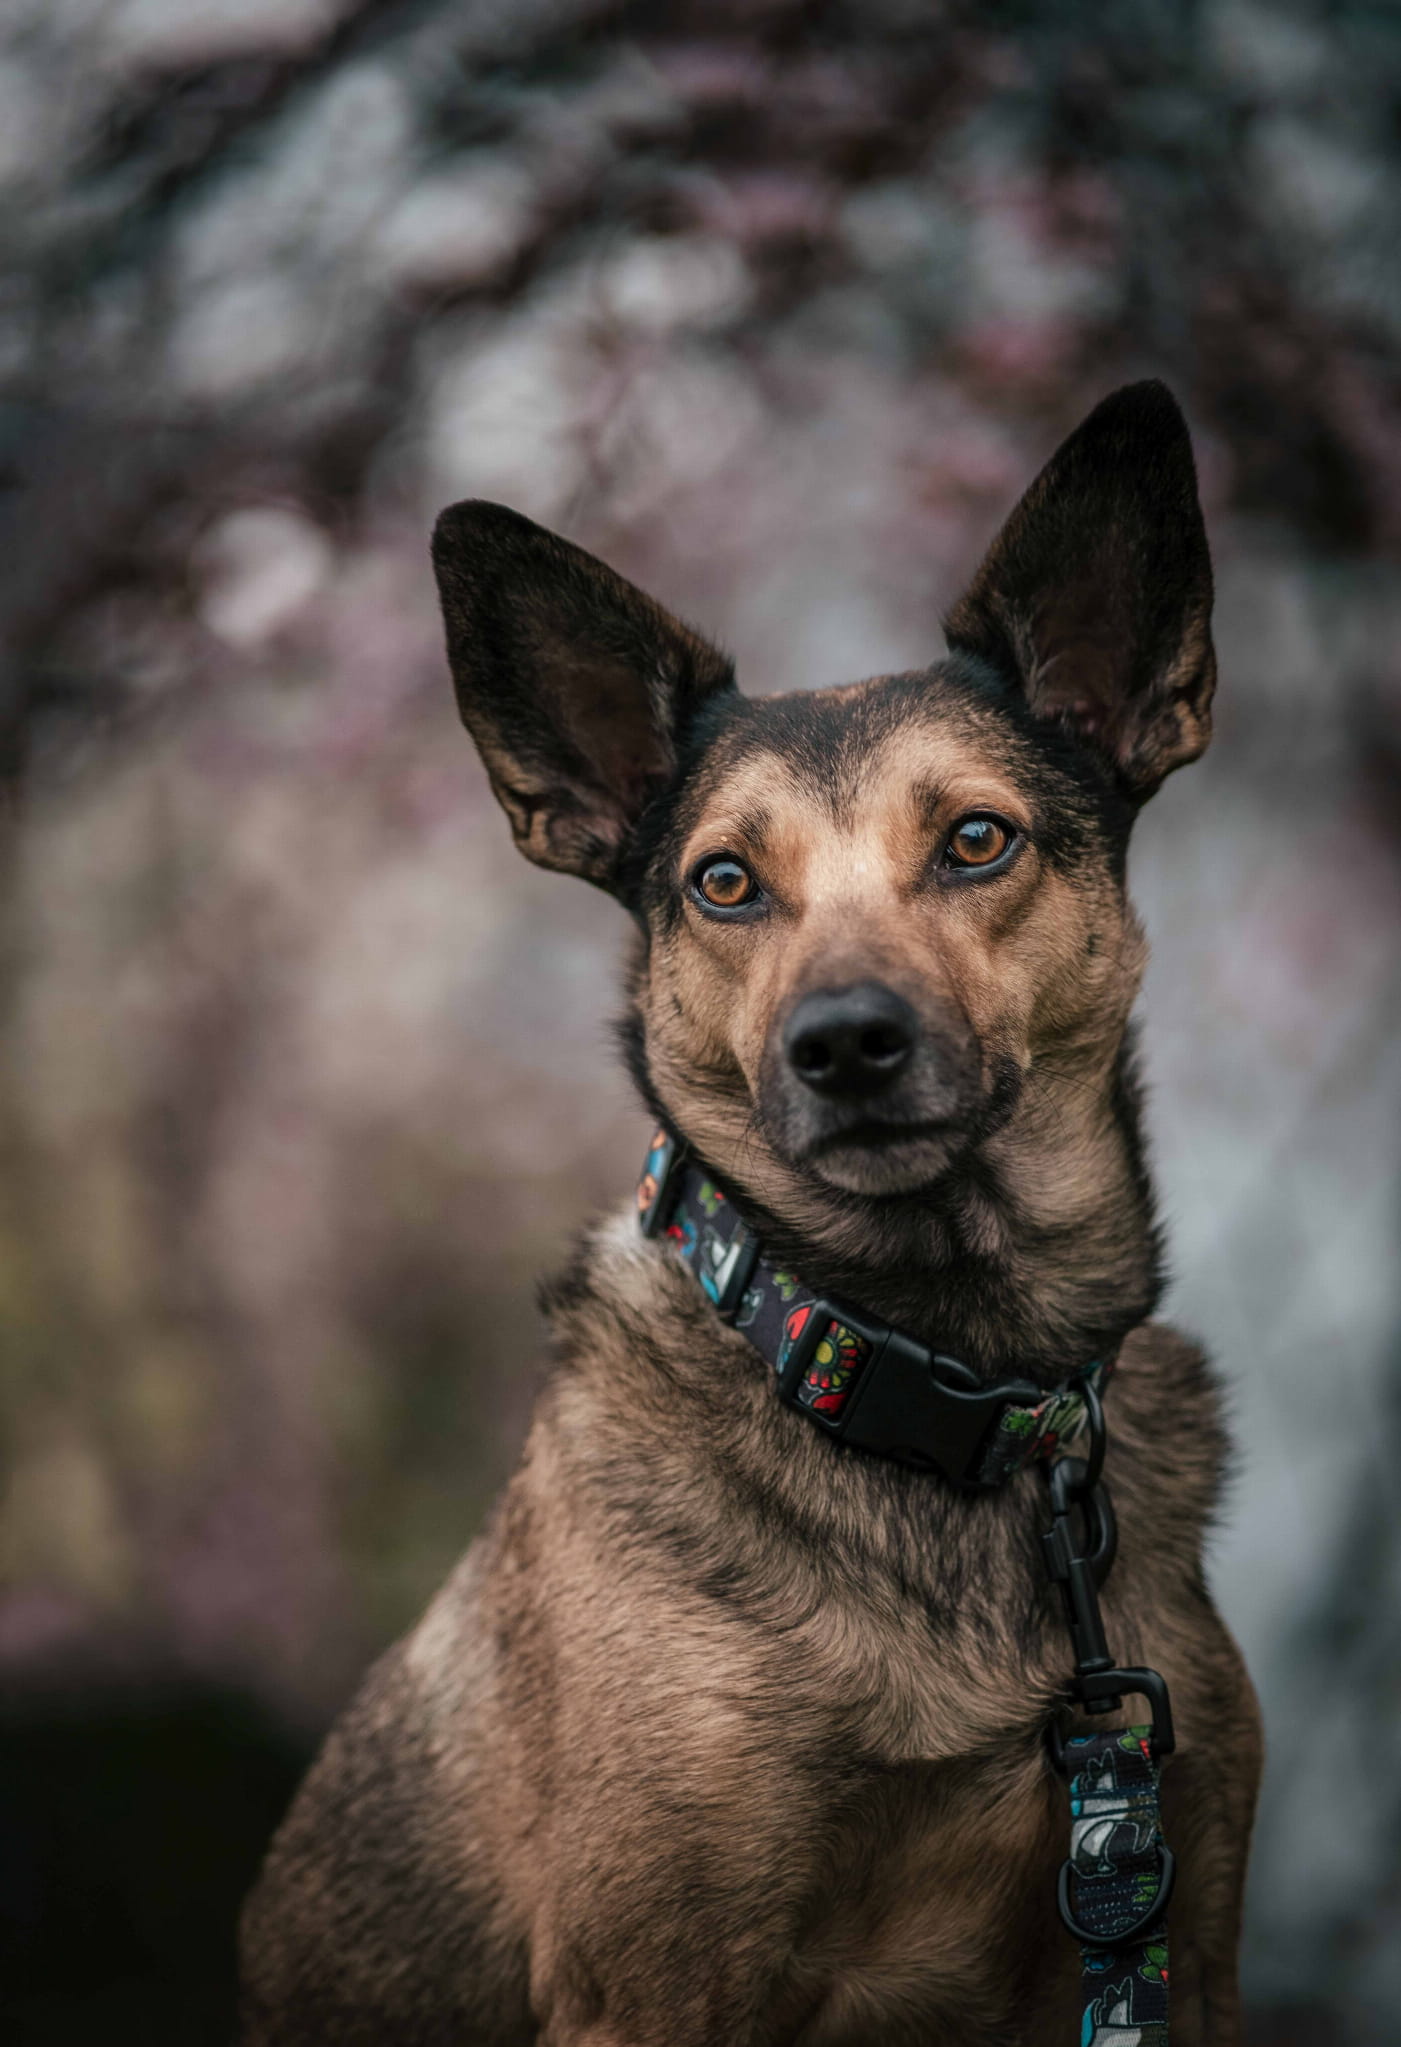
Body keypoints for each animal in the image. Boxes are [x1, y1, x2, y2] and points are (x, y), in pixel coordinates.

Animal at [237, 384, 1261, 2046]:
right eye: (724, 881)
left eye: (976, 840)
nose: (842, 1043)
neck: (924, 1375)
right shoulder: (654, 1980)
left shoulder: (1187, 1932)